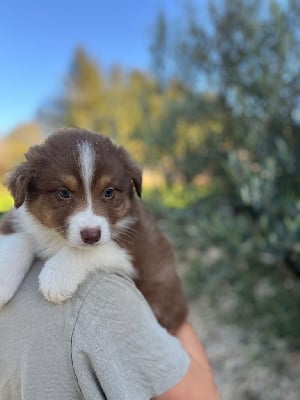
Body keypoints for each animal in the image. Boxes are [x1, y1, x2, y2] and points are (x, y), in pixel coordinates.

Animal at [0, 127, 188, 332]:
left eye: (109, 192)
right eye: (63, 193)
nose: (91, 235)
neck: (56, 237)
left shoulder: (135, 248)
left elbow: (86, 251)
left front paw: (56, 277)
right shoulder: (18, 218)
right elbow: (19, 238)